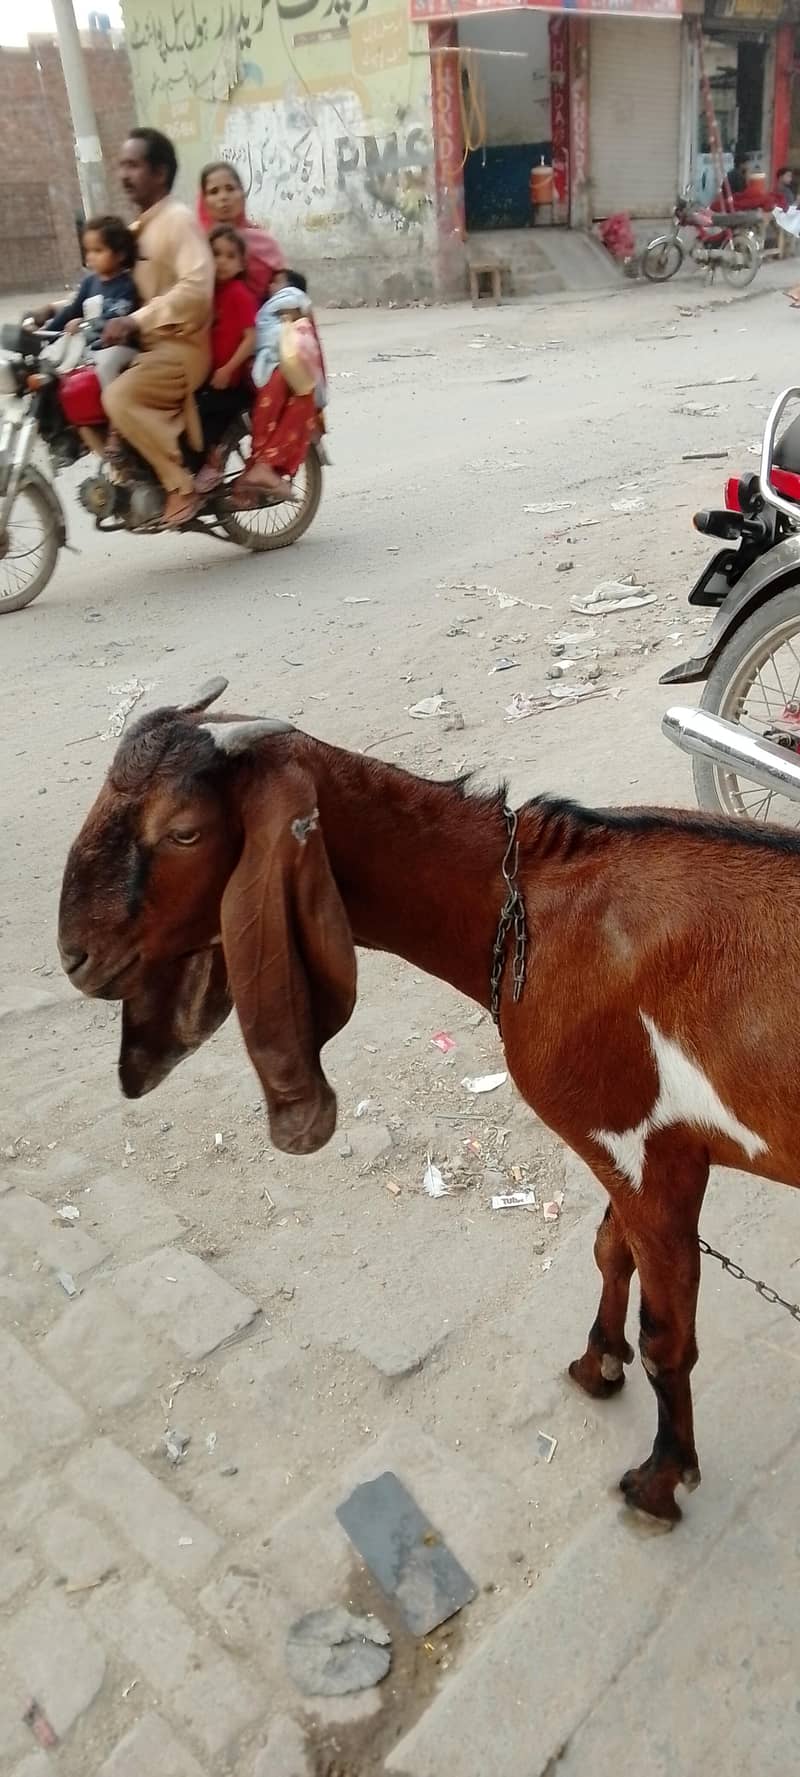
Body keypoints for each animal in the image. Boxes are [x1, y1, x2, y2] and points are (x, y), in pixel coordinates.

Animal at [58, 678, 800, 1527]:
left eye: (182, 831)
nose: (74, 955)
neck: (528, 908)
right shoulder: (629, 1147)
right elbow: (609, 1251)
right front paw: (595, 1362)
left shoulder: (648, 1156)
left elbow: (666, 1335)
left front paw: (660, 1479)